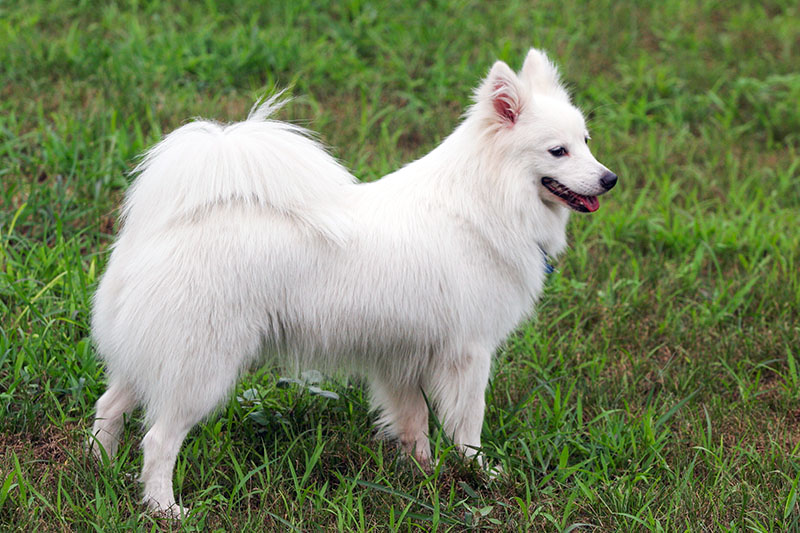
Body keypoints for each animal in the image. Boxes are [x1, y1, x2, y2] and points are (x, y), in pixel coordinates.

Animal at [89, 48, 620, 512]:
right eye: (558, 151)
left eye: (588, 142)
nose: (610, 179)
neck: (485, 200)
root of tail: (161, 229)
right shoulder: (468, 354)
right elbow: (468, 427)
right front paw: (482, 475)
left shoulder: (401, 356)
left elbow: (414, 422)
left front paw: (423, 477)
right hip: (201, 368)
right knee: (158, 439)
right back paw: (164, 508)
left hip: (154, 356)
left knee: (109, 405)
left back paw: (100, 470)